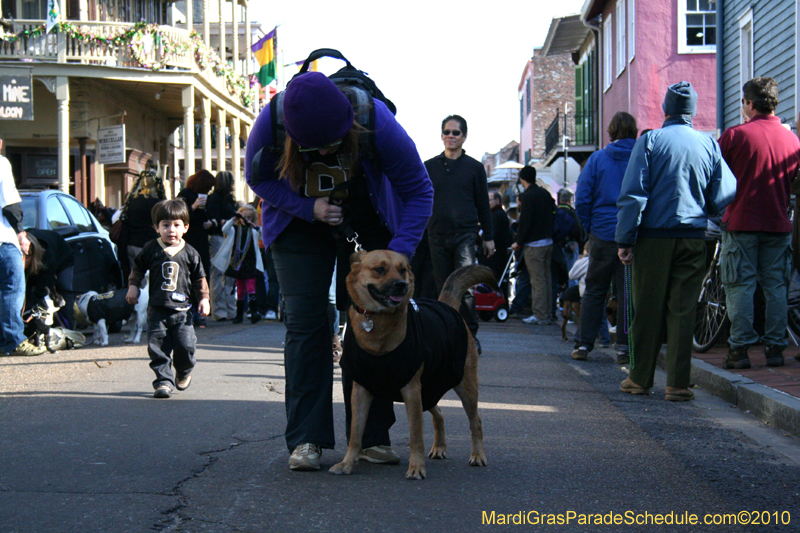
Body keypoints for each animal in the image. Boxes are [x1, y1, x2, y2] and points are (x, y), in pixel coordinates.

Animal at [326, 249, 490, 478]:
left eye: (403, 269)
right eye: (380, 269)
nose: (401, 285)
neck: (377, 326)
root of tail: (446, 305)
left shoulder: (411, 391)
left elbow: (416, 435)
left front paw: (416, 467)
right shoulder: (361, 391)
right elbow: (356, 434)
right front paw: (347, 463)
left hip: (464, 387)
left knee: (476, 421)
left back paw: (478, 455)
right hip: (429, 389)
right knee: (439, 414)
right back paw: (439, 447)